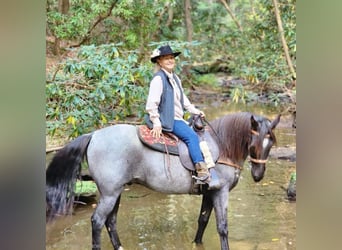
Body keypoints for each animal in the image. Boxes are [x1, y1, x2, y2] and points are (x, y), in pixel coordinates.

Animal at [45, 112, 280, 250]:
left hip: (114, 192)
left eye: (270, 144)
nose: (258, 175)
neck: (222, 146)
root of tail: (93, 135)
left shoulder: (208, 192)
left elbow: (203, 220)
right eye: (254, 143)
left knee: (110, 222)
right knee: (97, 221)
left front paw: (196, 243)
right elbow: (222, 227)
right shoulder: (220, 192)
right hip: (110, 193)